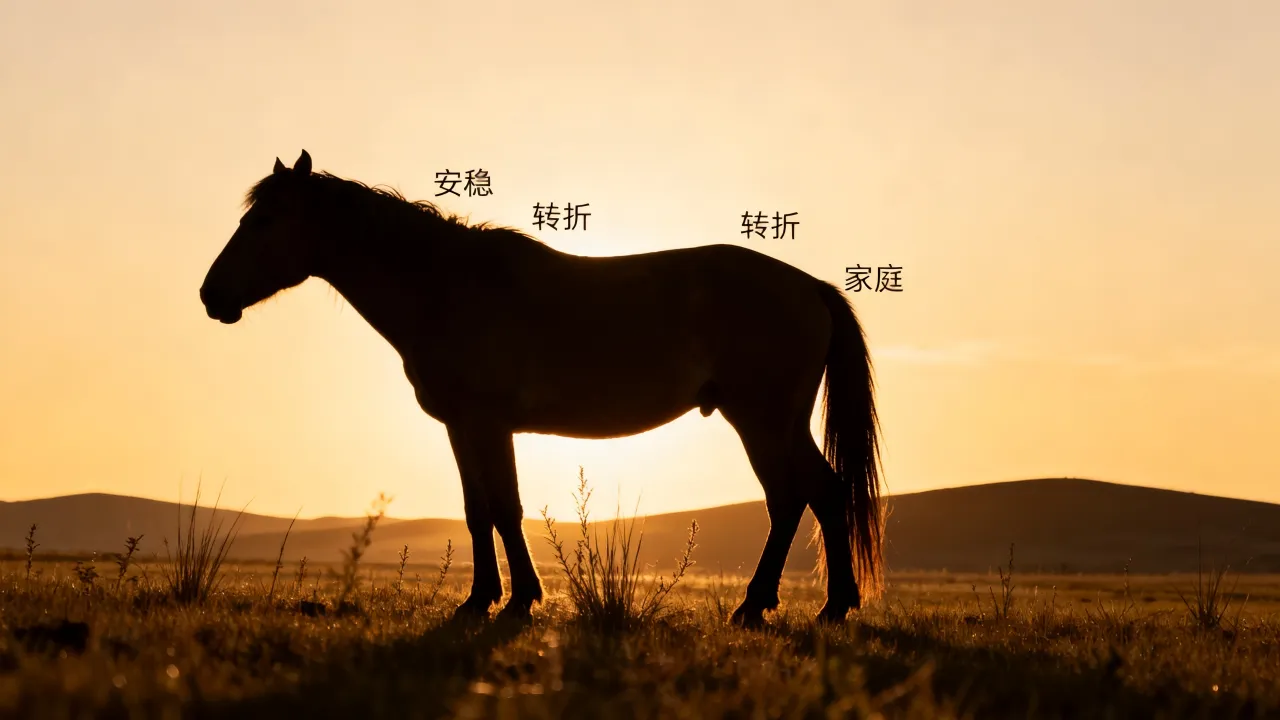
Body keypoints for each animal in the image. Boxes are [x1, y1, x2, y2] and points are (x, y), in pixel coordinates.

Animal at [200, 150, 884, 626]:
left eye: (266, 221)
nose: (211, 296)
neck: (444, 287)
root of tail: (811, 286)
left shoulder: (486, 422)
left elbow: (505, 507)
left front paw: (518, 600)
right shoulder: (461, 427)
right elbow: (478, 510)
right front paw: (481, 599)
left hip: (762, 420)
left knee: (793, 498)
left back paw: (766, 606)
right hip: (780, 423)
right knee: (822, 494)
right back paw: (825, 606)